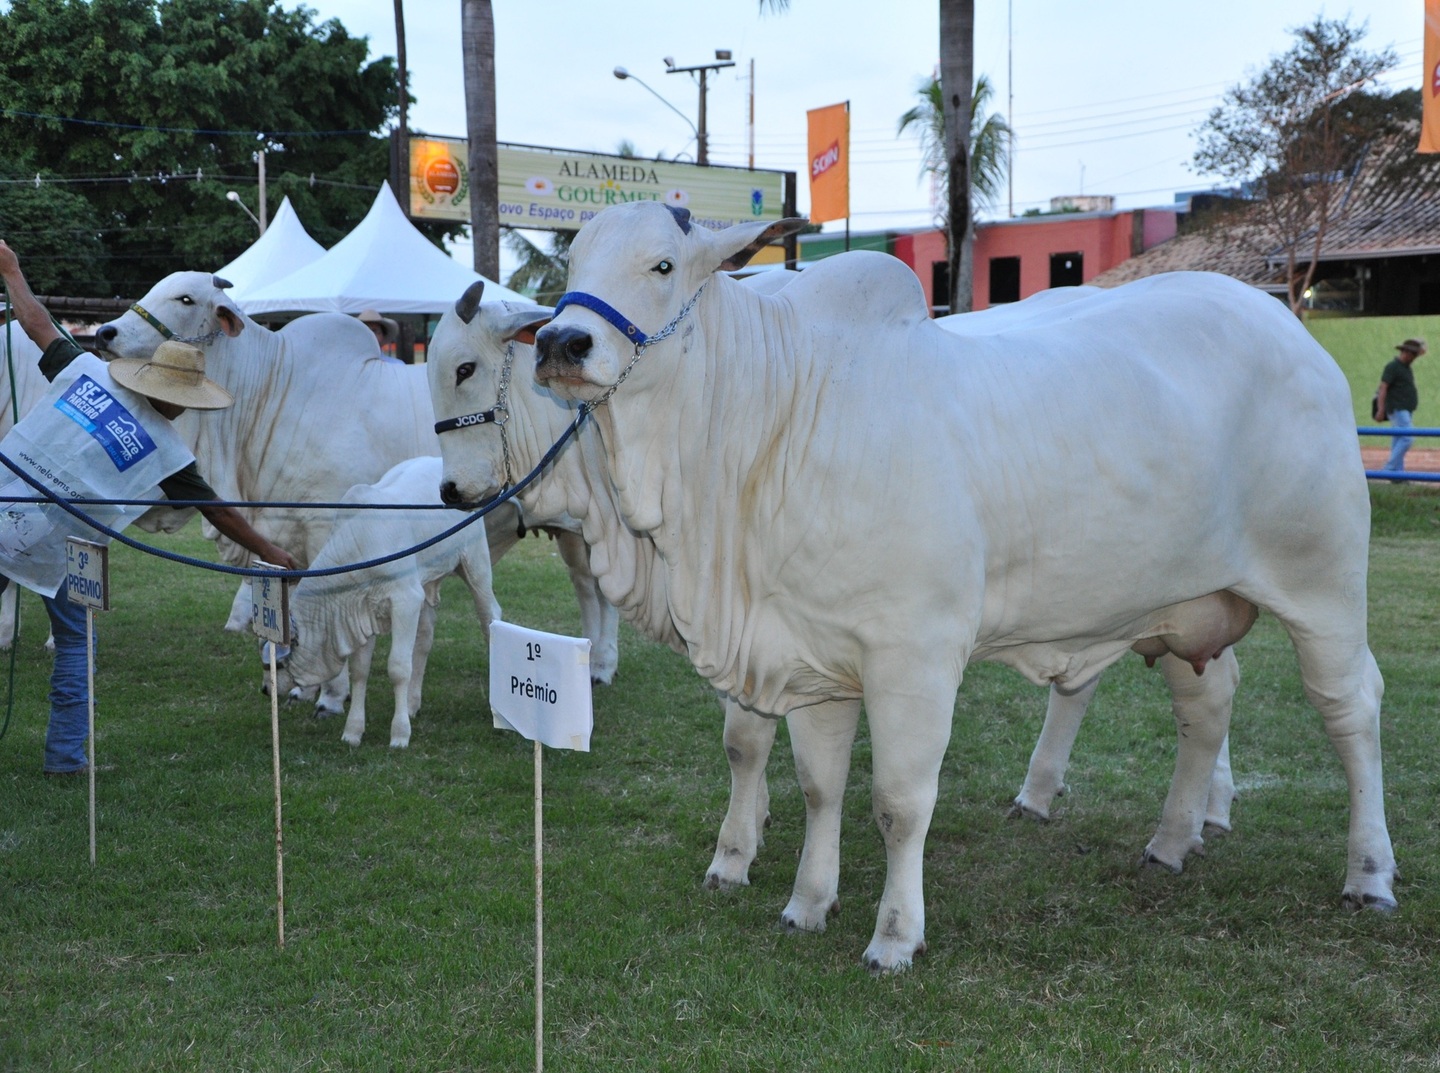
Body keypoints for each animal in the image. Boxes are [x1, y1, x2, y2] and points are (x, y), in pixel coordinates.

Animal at [88, 273, 619, 711]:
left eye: (185, 298)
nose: (105, 333)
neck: (272, 395)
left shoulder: (331, 526)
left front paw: (333, 694)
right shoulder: (286, 536)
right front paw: (303, 686)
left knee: (599, 591)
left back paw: (600, 666)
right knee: (587, 588)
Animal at [273, 455, 501, 748]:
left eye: (278, 663)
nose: (267, 689)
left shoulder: (405, 600)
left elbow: (398, 668)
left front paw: (400, 734)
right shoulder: (362, 609)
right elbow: (360, 670)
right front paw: (353, 731)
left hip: (475, 561)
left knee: (489, 618)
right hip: (425, 583)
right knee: (424, 638)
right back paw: (413, 704)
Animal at [506, 201, 1393, 973]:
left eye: (661, 264)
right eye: (573, 265)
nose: (561, 340)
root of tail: (1289, 329)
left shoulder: (914, 658)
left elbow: (899, 802)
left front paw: (895, 935)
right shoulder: (810, 653)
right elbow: (820, 786)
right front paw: (806, 901)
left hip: (1325, 586)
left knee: (1352, 710)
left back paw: (1369, 873)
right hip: (1180, 607)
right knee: (1205, 709)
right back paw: (1171, 841)